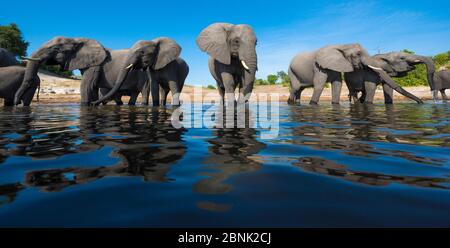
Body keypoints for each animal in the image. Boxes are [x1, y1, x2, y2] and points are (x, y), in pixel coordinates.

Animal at [286, 44, 424, 104]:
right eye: (357, 54)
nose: (421, 102)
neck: (341, 46)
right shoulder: (318, 67)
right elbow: (319, 85)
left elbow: (337, 85)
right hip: (291, 71)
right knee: (295, 88)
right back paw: (290, 103)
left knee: (299, 90)